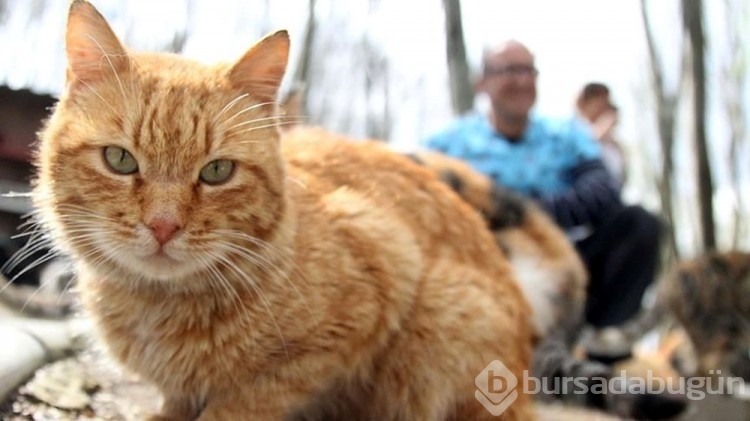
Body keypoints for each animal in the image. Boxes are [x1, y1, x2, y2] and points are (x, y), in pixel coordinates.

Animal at [30, 1, 536, 418]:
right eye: (120, 159)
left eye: (217, 171)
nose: (163, 225)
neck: (156, 306)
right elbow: (177, 401)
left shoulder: (376, 277)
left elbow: (242, 403)